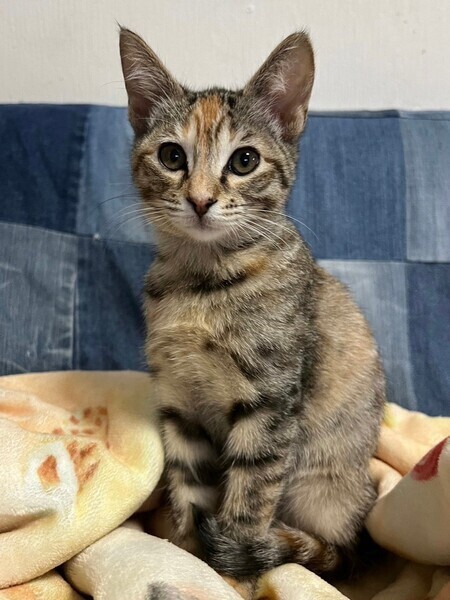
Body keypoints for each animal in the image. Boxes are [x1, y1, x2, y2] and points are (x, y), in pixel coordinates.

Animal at [119, 27, 385, 581]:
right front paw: (185, 550)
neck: (202, 284)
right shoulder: (179, 402)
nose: (200, 200)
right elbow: (189, 485)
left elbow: (249, 495)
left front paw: (231, 570)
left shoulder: (271, 403)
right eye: (171, 156)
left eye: (244, 161)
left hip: (325, 489)